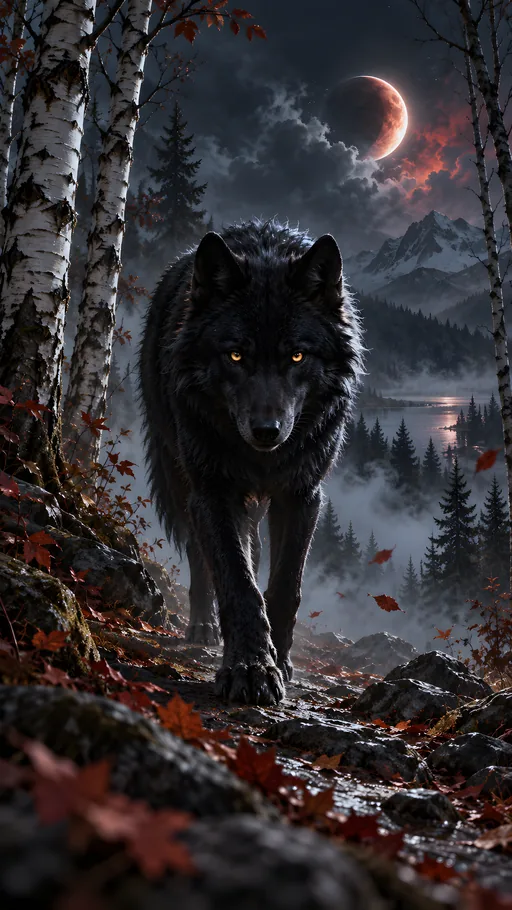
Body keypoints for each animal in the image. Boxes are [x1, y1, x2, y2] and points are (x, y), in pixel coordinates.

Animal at [138, 218, 364, 705]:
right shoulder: (213, 492)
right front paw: (249, 669)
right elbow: (237, 583)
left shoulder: (301, 495)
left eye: (297, 355)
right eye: (236, 354)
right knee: (201, 557)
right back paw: (203, 627)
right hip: (180, 479)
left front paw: (278, 659)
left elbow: (284, 587)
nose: (266, 431)